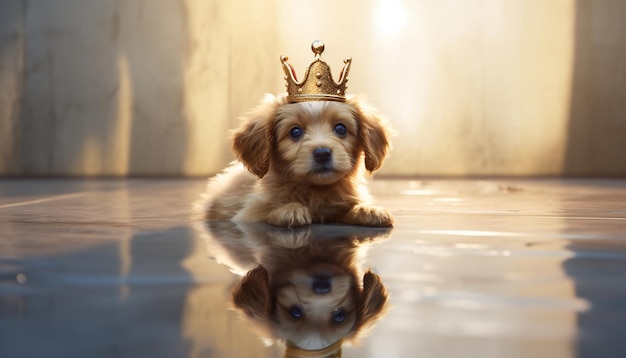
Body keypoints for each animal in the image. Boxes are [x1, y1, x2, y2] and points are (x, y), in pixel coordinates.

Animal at [200, 93, 392, 228]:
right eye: (295, 132)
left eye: (341, 129)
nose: (322, 153)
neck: (317, 191)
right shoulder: (248, 212)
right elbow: (266, 208)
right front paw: (289, 209)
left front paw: (368, 209)